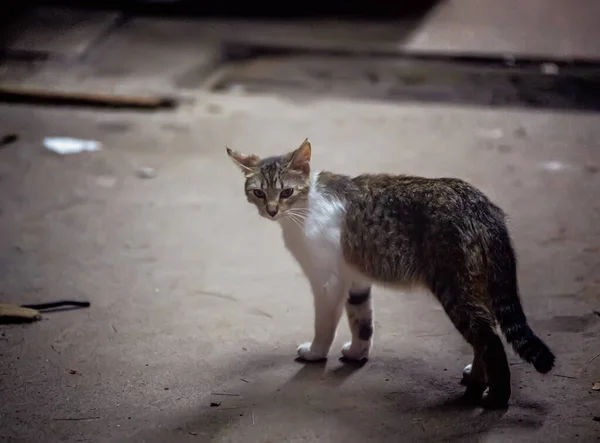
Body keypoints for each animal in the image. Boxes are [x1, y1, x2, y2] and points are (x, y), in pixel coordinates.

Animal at [227, 139, 556, 410]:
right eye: (259, 193)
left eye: (286, 192)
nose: (271, 211)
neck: (304, 209)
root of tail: (482, 205)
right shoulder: (356, 278)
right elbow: (361, 321)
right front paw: (357, 352)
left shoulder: (328, 282)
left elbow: (324, 325)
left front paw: (316, 352)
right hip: (475, 283)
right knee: (484, 335)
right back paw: (477, 378)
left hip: (455, 286)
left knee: (489, 338)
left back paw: (496, 397)